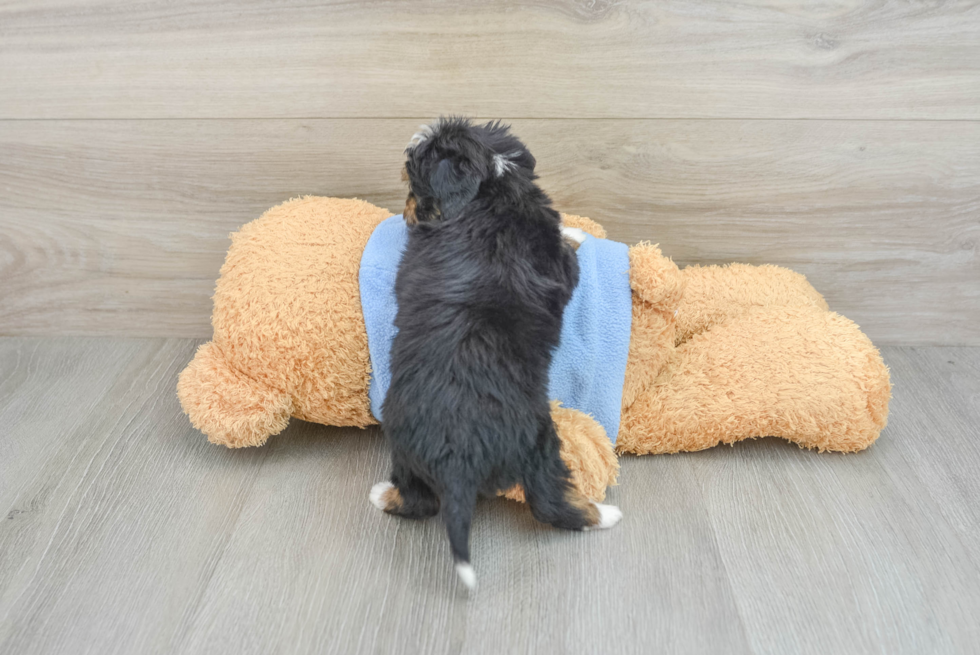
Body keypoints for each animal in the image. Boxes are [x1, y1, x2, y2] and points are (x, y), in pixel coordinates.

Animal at [368, 115, 620, 592]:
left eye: (413, 173)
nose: (407, 207)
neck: (492, 187)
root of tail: (457, 459)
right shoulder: (559, 262)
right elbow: (568, 246)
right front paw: (579, 231)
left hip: (405, 447)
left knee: (420, 502)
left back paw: (383, 495)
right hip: (540, 442)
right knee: (548, 502)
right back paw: (604, 514)